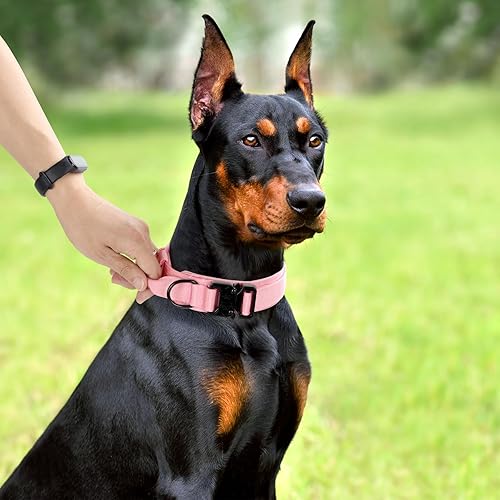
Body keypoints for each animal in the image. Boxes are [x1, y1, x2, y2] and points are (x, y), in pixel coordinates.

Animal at [0, 15, 328, 499]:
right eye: (250, 139)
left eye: (315, 141)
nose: (310, 201)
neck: (238, 302)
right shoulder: (191, 473)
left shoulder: (265, 468)